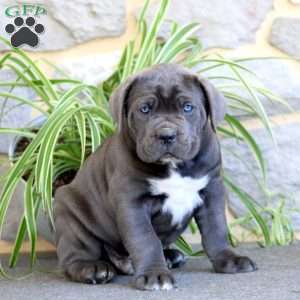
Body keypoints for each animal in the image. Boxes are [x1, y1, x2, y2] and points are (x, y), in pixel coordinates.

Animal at [53, 63, 255, 290]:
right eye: (145, 109)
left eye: (188, 107)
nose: (166, 134)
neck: (174, 166)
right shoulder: (132, 202)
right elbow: (146, 240)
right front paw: (155, 275)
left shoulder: (212, 191)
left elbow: (216, 229)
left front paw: (229, 259)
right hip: (70, 214)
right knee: (74, 255)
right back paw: (92, 268)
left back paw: (171, 256)